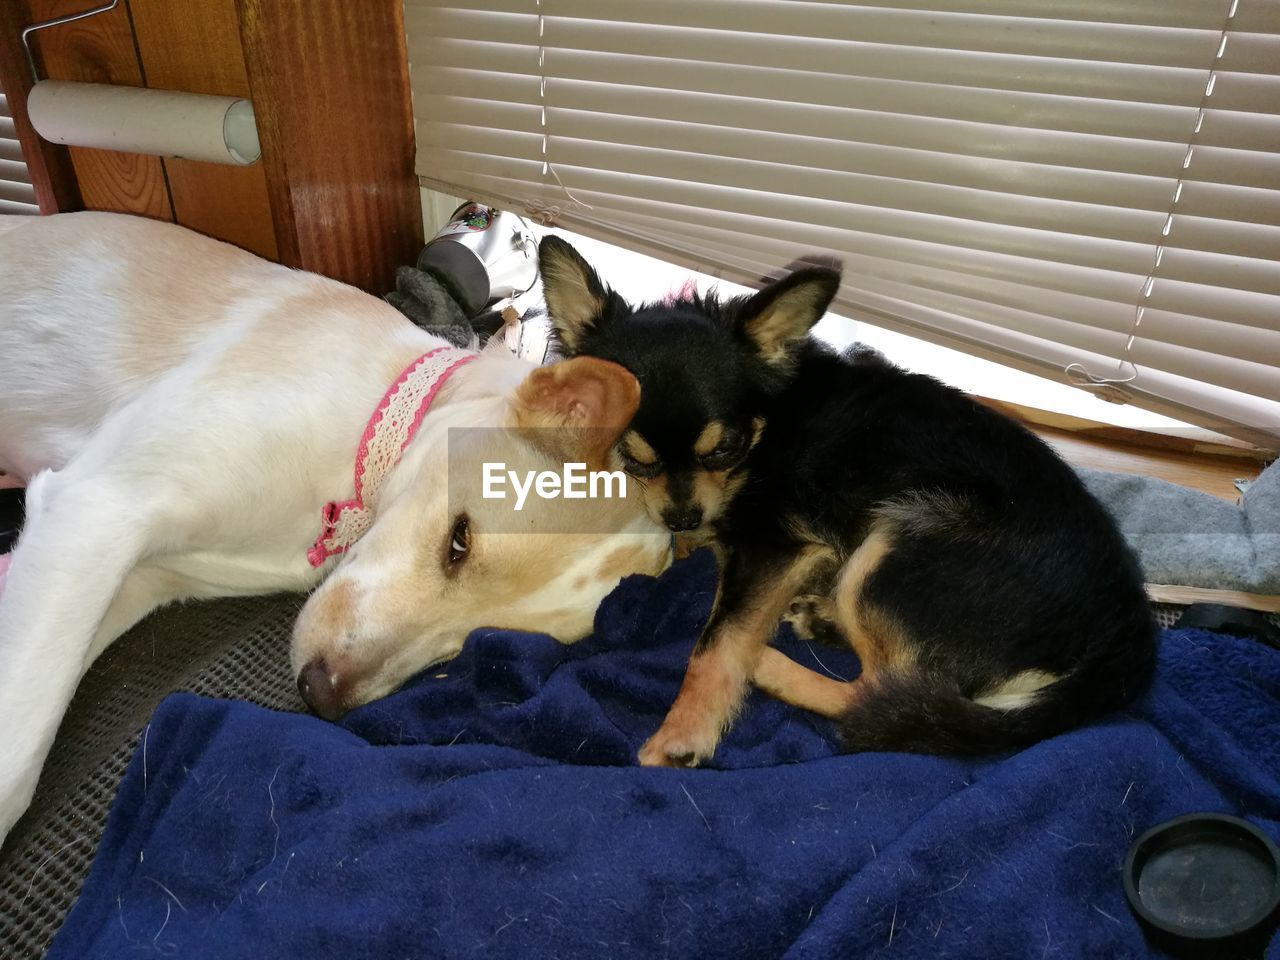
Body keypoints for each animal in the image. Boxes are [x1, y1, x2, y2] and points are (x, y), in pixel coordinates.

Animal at [0, 212, 665, 849]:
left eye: (480, 639)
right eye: (460, 541)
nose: (320, 696)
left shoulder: (129, 569)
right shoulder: (97, 509)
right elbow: (18, 759)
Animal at [535, 236, 1157, 773]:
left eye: (726, 448)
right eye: (633, 456)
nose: (684, 516)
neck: (769, 424)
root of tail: (1126, 637)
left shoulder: (776, 547)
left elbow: (717, 645)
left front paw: (681, 734)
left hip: (895, 540)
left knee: (880, 692)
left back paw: (771, 666)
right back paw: (819, 617)